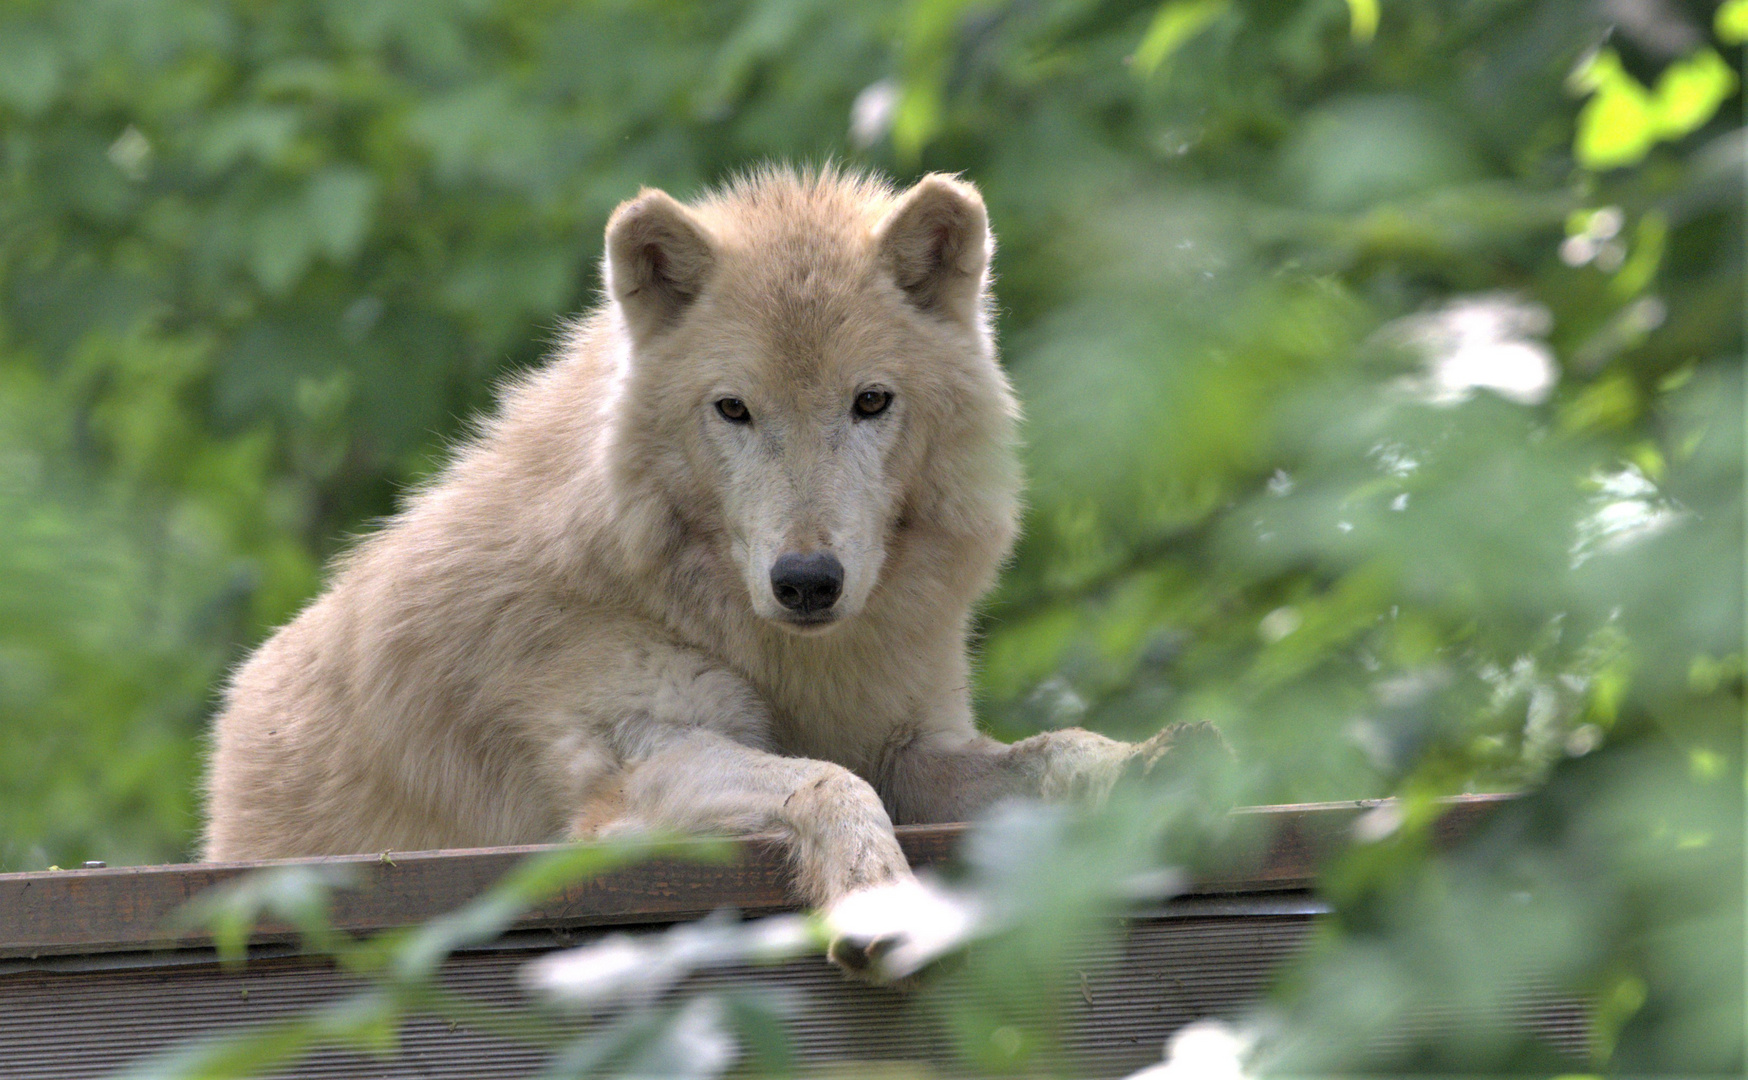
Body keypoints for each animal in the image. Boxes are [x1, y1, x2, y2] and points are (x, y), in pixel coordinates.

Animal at [204, 166, 1188, 964]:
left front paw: (1150, 757)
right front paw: (878, 896)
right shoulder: (633, 775)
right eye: (733, 409)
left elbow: (1047, 748)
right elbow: (828, 780)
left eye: (871, 401)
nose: (806, 581)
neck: (779, 656)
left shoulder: (911, 746)